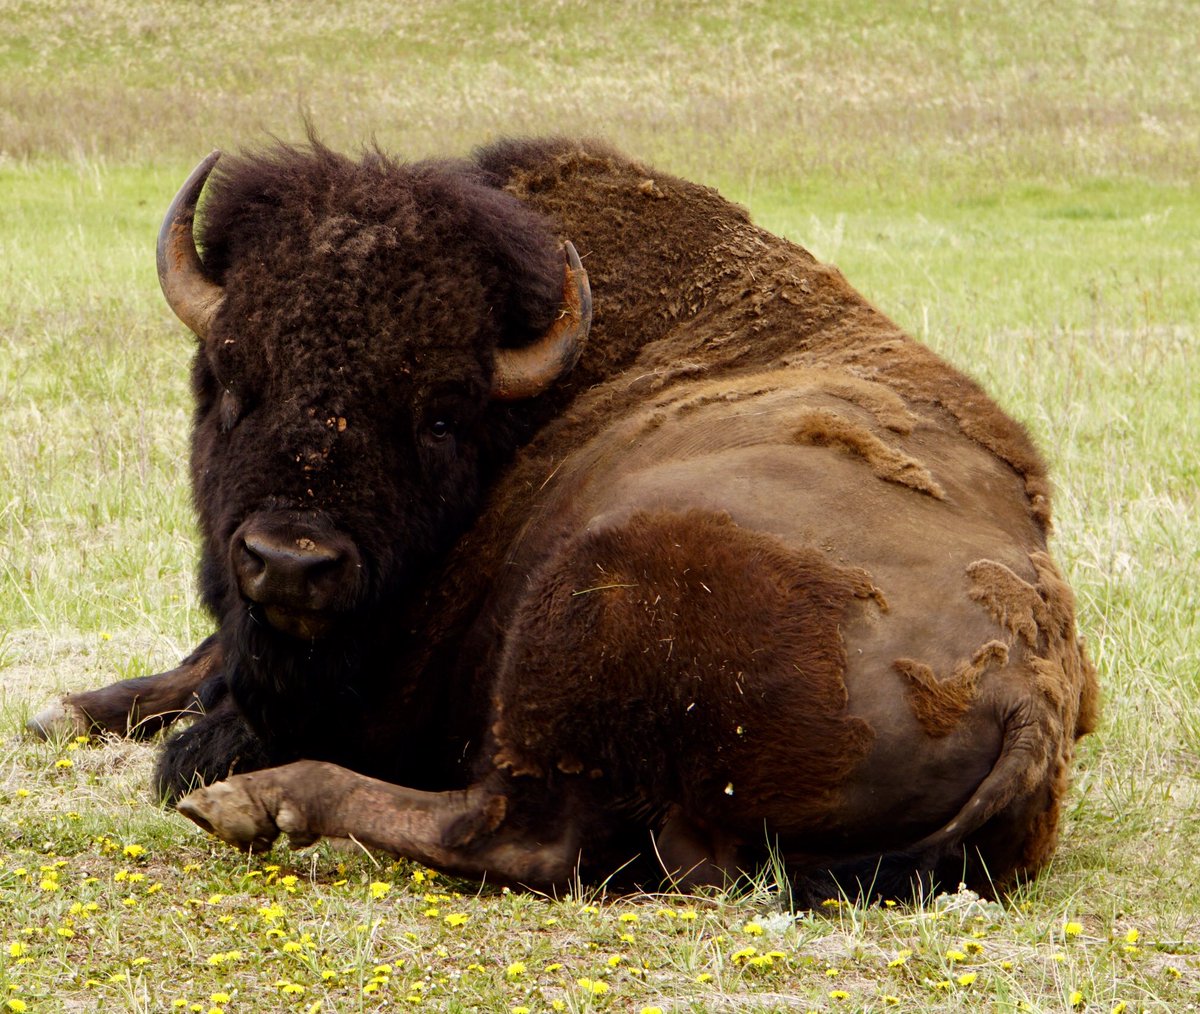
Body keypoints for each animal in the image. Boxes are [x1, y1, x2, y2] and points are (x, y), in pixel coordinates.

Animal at [34, 137, 1098, 902]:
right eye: (229, 382)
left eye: (440, 414)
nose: (290, 562)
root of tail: (1029, 693)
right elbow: (191, 662)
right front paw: (64, 709)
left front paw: (194, 762)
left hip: (591, 594)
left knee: (518, 839)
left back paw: (258, 804)